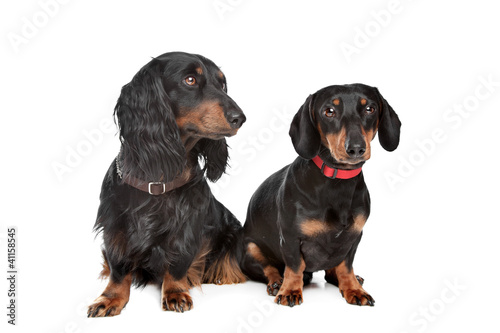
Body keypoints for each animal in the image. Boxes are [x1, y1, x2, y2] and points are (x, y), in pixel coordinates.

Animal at [240, 83, 400, 306]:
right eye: (329, 111)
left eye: (370, 109)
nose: (356, 148)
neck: (337, 181)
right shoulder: (290, 237)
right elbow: (294, 266)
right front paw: (290, 290)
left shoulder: (354, 237)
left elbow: (345, 267)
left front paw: (353, 288)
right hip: (250, 249)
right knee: (269, 268)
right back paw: (276, 283)